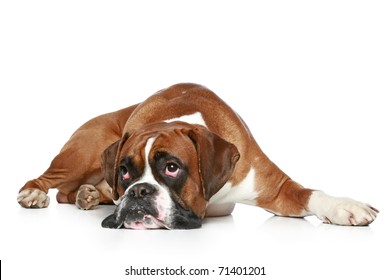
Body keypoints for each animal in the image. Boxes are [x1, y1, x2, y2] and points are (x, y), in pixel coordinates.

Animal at [16, 83, 380, 230]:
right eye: (124, 171)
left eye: (172, 168)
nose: (138, 191)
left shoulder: (277, 189)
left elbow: (313, 194)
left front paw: (347, 207)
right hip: (83, 153)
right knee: (46, 181)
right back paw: (34, 194)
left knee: (70, 193)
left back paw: (89, 194)